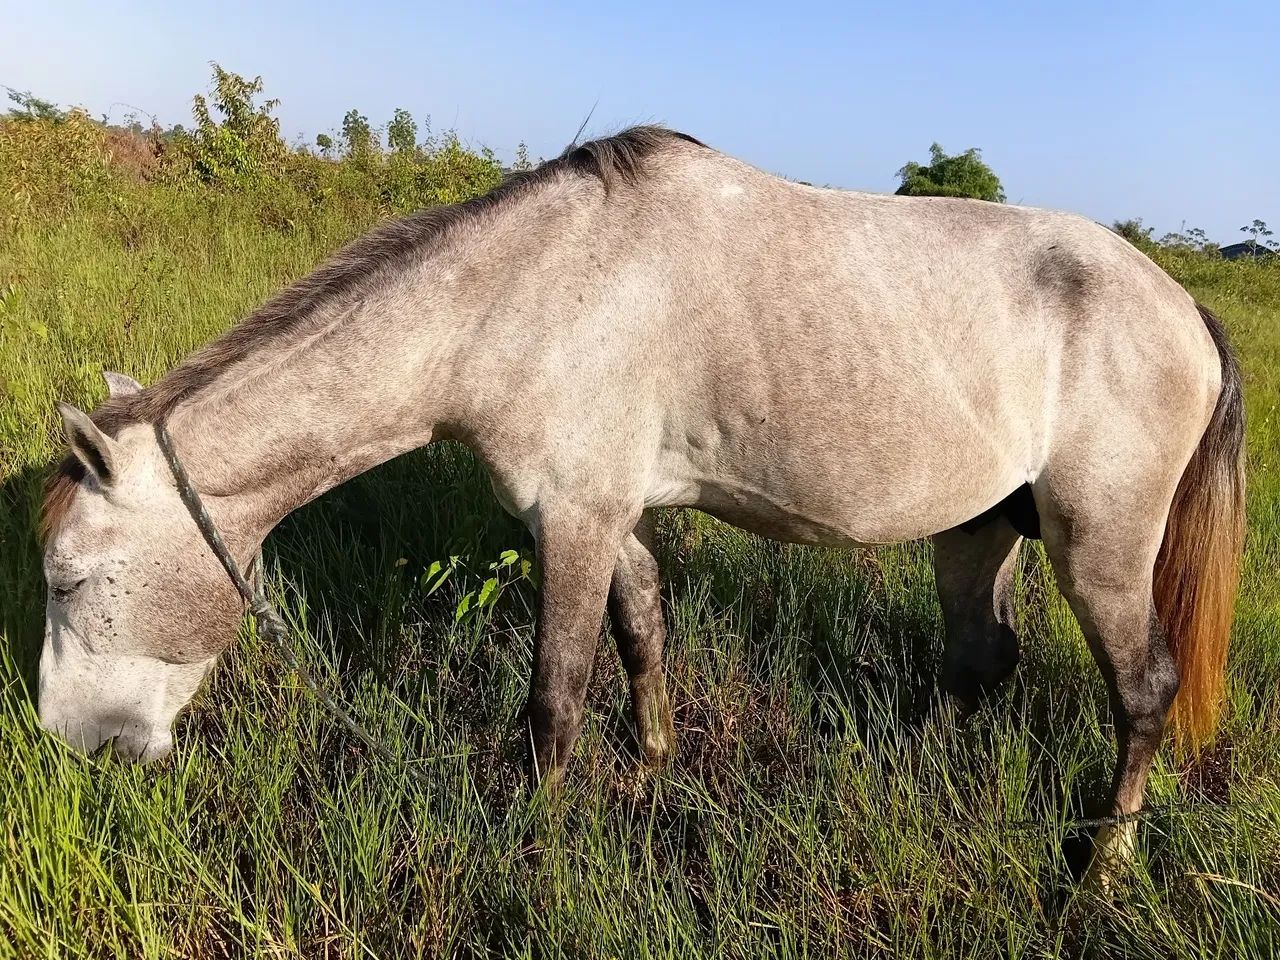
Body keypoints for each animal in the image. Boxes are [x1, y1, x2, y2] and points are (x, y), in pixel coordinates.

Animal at [38, 127, 1244, 883]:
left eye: (63, 577)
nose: (63, 745)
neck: (524, 296)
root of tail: (1185, 307)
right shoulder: (608, 513)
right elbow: (642, 633)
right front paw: (655, 765)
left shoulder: (572, 519)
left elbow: (554, 699)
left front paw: (529, 851)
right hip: (982, 528)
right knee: (980, 658)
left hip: (1098, 547)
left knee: (1141, 691)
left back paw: (1103, 869)